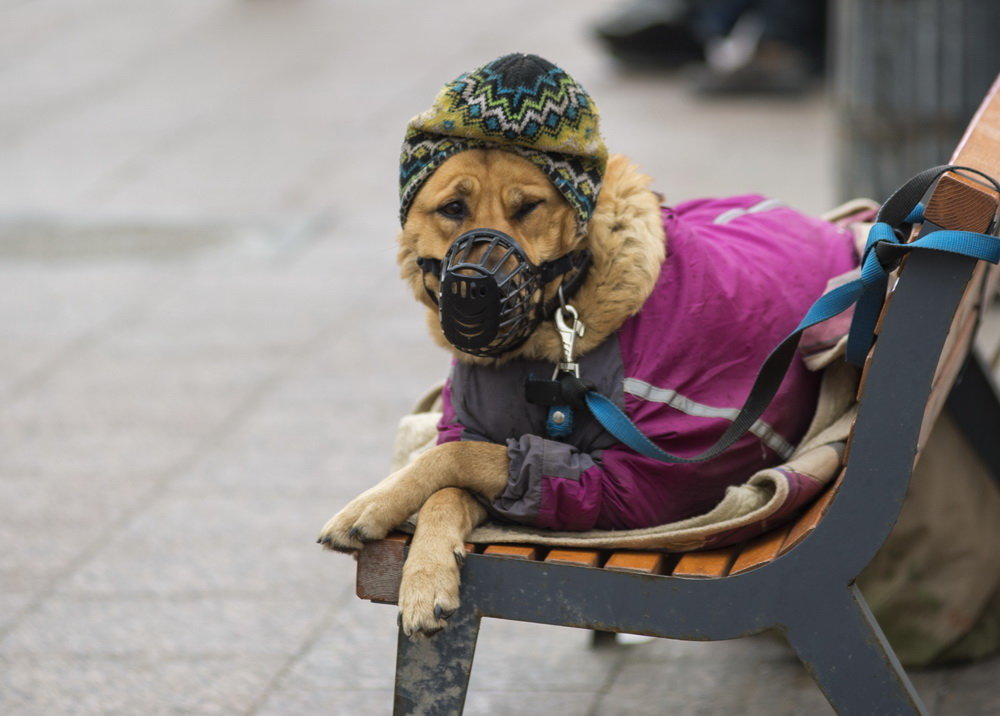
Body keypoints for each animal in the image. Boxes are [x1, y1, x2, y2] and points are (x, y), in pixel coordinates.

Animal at [318, 148, 664, 636]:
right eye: (453, 209)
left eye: (528, 208)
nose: (475, 285)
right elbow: (446, 489)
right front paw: (426, 574)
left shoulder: (628, 489)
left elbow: (450, 456)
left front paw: (371, 504)